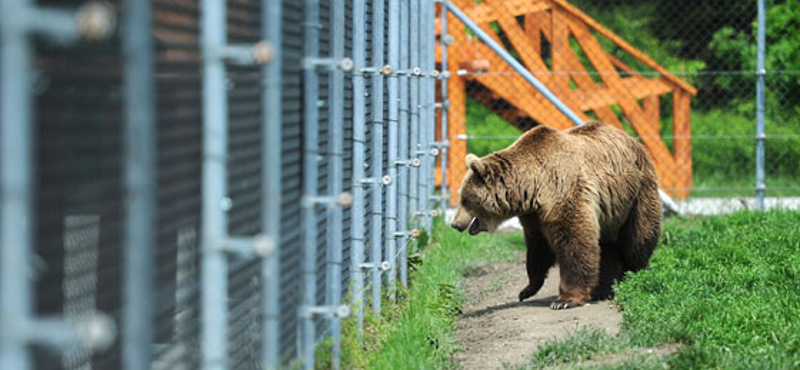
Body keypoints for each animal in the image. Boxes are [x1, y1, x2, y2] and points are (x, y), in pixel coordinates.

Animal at [450, 121, 664, 310]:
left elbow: (574, 242)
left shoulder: (563, 191)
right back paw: (603, 289)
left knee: (638, 239)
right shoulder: (534, 215)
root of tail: (632, 140)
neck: (532, 186)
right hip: (612, 211)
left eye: (464, 199)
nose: (454, 224)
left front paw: (565, 300)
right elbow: (538, 250)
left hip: (637, 193)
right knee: (607, 246)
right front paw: (526, 290)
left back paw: (634, 275)